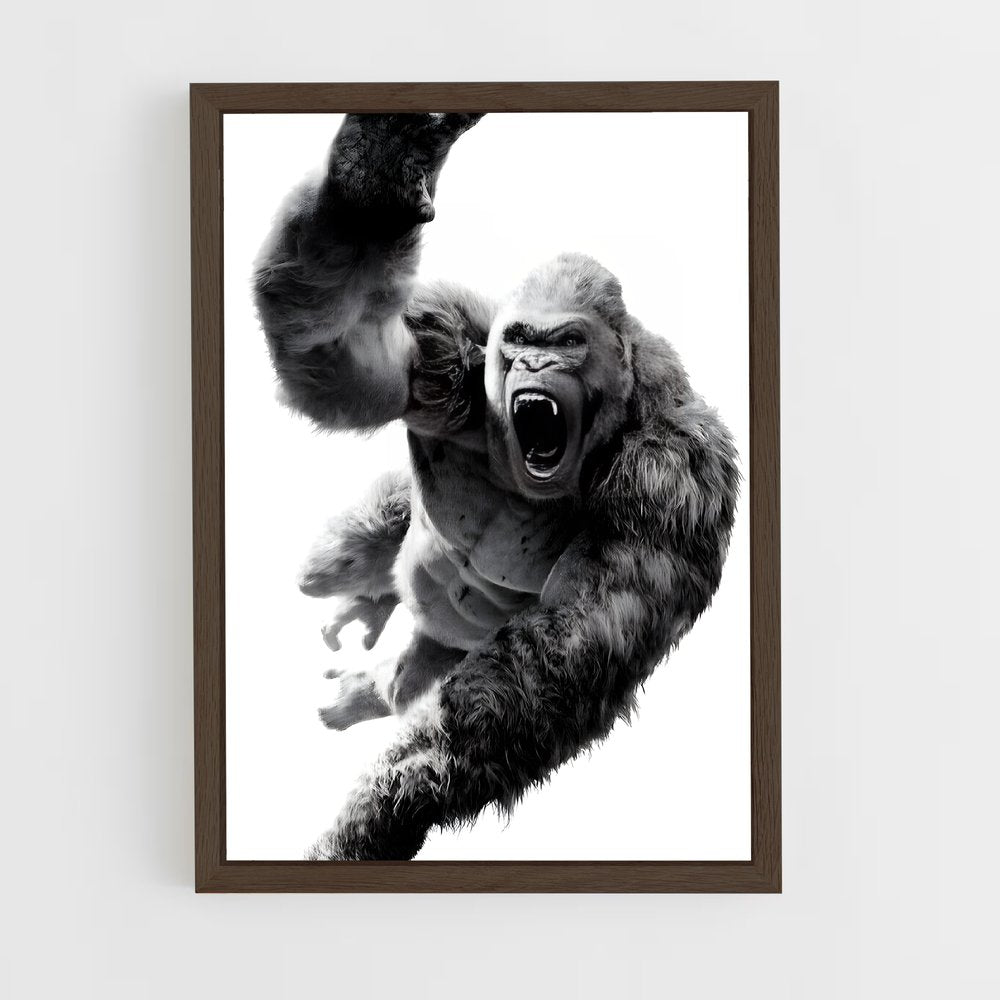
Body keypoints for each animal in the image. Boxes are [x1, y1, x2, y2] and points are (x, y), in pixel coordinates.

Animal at [252, 113, 739, 860]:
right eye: (520, 338)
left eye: (566, 342)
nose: (534, 364)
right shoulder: (444, 350)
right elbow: (335, 352)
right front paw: (375, 175)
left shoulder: (672, 483)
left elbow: (542, 676)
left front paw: (381, 812)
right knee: (337, 562)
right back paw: (367, 590)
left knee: (421, 677)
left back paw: (370, 681)